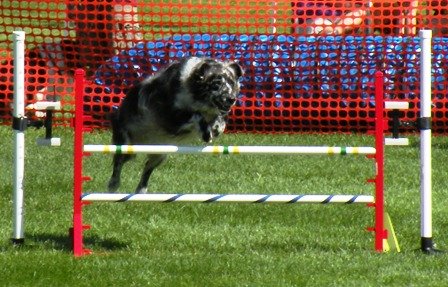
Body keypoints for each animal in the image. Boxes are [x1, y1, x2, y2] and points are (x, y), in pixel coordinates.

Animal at [107, 56, 243, 194]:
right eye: (216, 84)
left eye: (232, 83)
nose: (232, 99)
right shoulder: (169, 117)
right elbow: (196, 115)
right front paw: (206, 133)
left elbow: (219, 119)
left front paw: (217, 128)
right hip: (125, 145)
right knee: (118, 163)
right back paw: (113, 184)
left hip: (160, 154)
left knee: (147, 169)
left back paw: (141, 190)